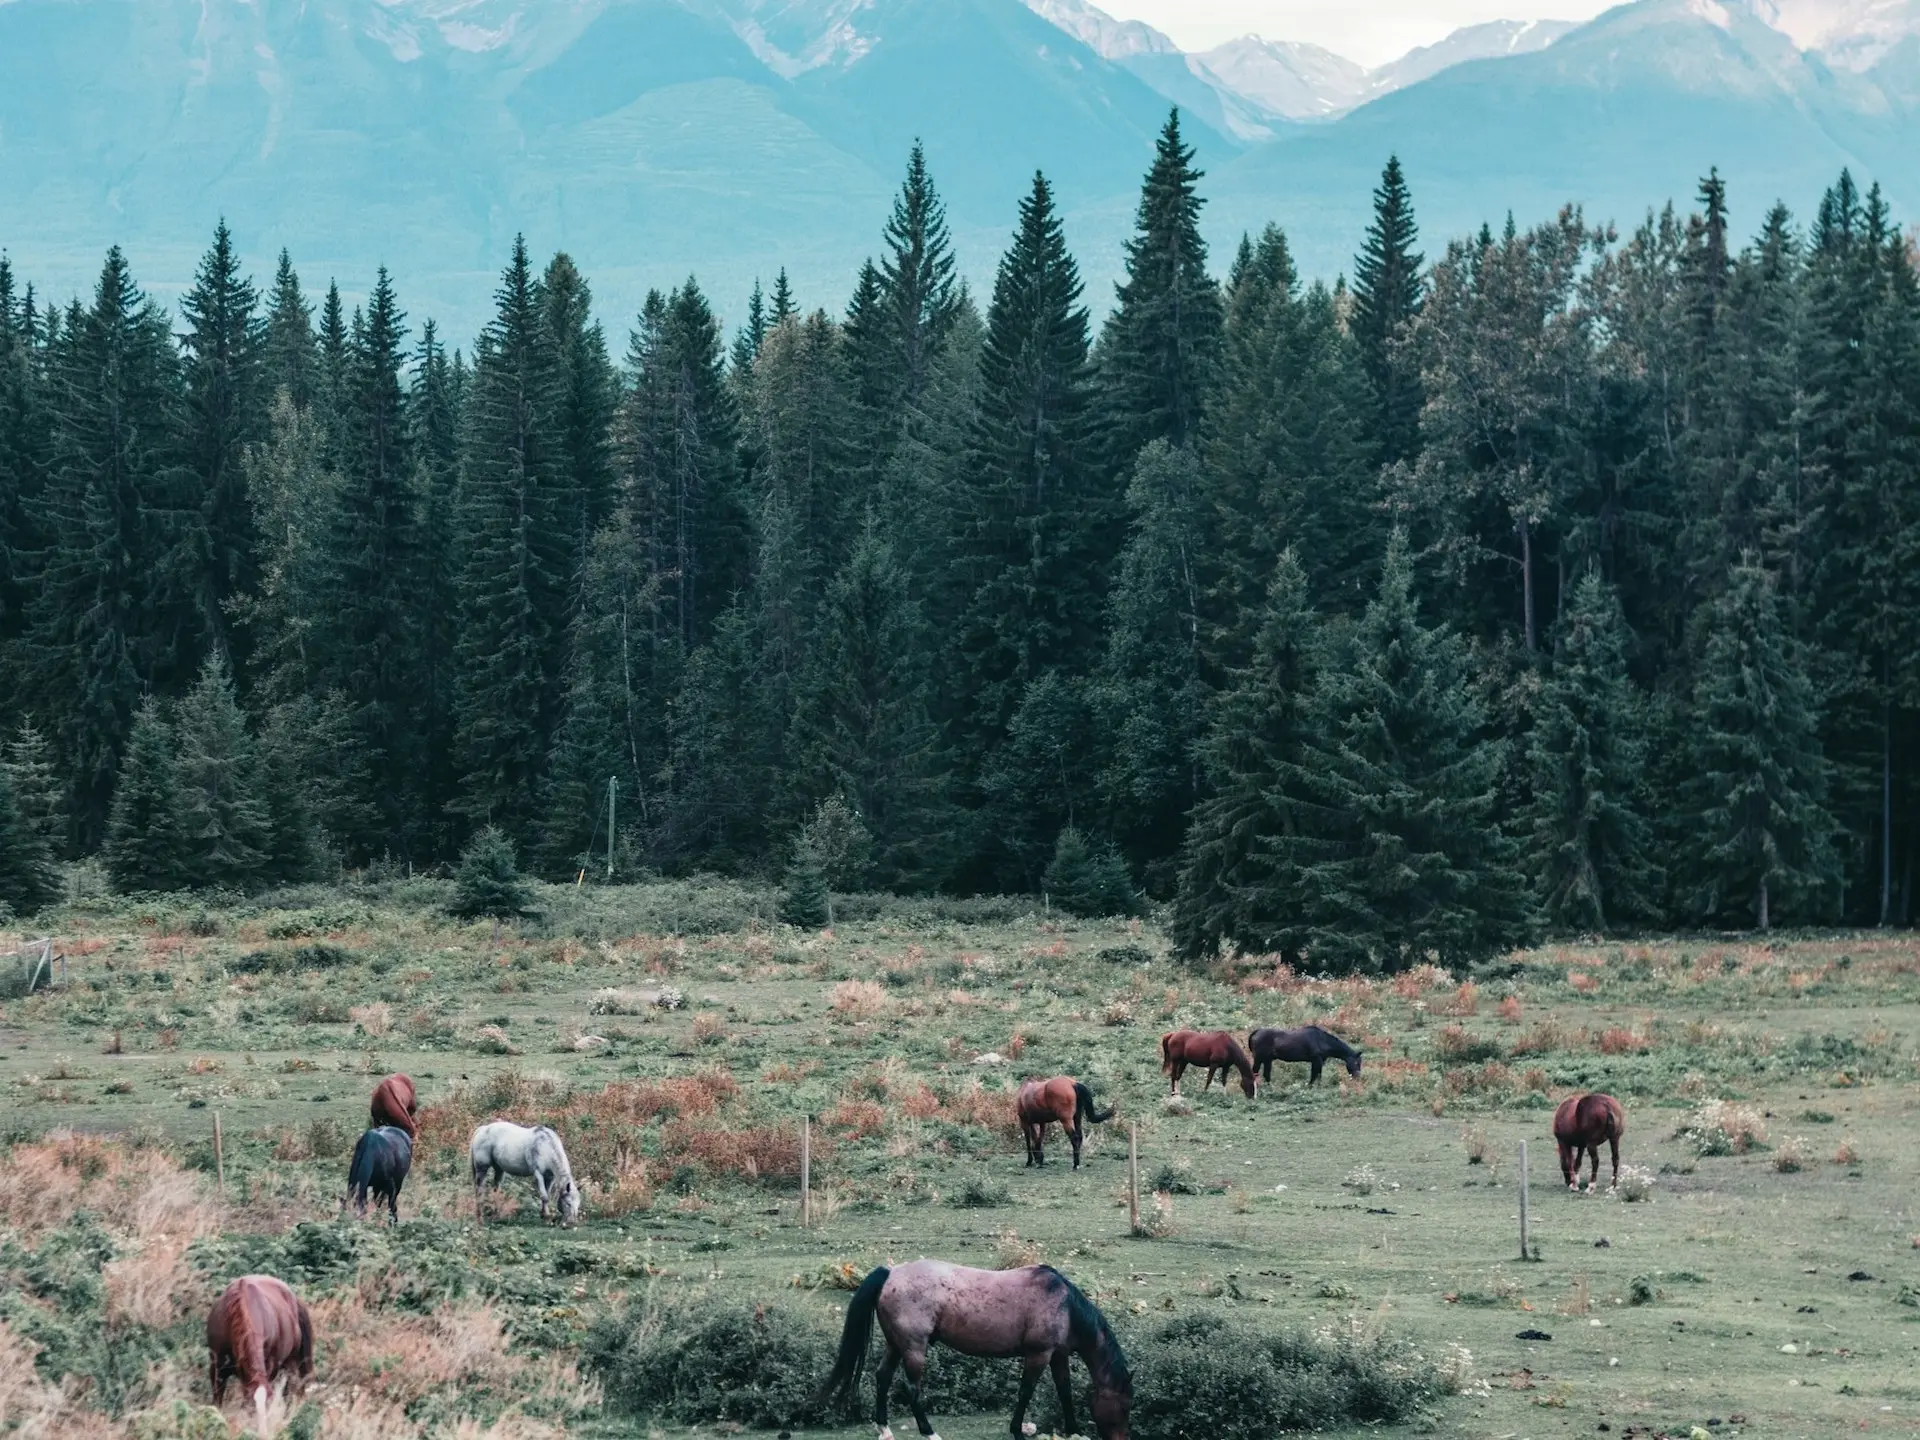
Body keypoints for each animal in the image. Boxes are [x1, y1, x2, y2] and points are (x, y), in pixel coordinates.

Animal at [206, 1282, 311, 1436]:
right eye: (251, 1408)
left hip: (290, 1363)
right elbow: (217, 1401)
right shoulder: (217, 1368)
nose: (262, 1433)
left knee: (288, 1393)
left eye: (267, 1406)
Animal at [806, 1259, 1121, 1440]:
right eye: (1125, 1403)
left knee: (882, 1377)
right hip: (914, 1348)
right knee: (911, 1389)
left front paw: (1074, 1431)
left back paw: (884, 1430)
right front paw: (1017, 1431)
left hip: (895, 1345)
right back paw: (930, 1433)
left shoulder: (1058, 1355)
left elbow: (1064, 1390)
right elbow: (1026, 1392)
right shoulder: (1038, 1354)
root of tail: (890, 1272)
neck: (1063, 1303)